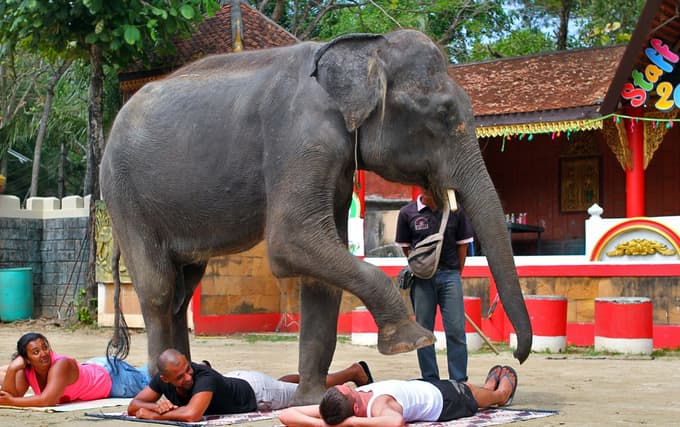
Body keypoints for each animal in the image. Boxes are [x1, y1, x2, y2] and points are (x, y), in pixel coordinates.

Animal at [100, 29, 532, 404]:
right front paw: (414, 340)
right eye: (442, 114)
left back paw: (189, 373)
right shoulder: (302, 138)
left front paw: (310, 401)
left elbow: (321, 271)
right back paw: (164, 391)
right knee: (157, 288)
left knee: (182, 290)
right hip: (124, 198)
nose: (517, 357)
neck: (366, 51)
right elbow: (291, 241)